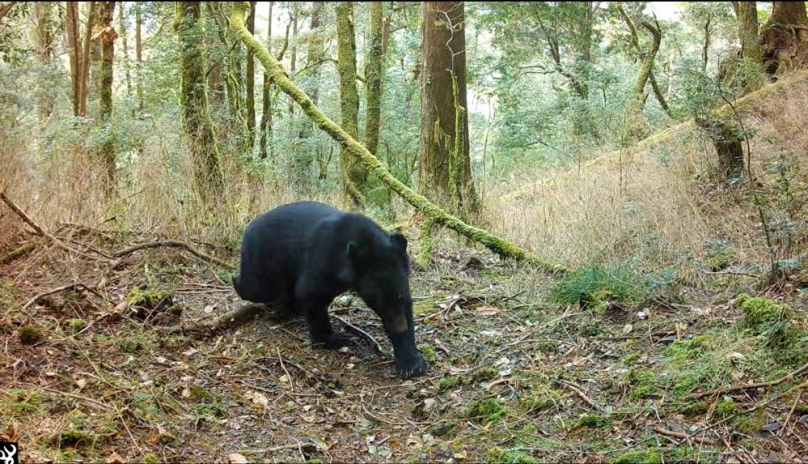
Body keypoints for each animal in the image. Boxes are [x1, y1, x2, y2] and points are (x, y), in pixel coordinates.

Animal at [230, 201, 426, 378]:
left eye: (399, 297)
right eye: (378, 302)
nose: (400, 327)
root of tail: (249, 227)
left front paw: (411, 362)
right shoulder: (323, 258)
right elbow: (309, 292)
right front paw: (334, 338)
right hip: (264, 261)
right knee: (254, 287)